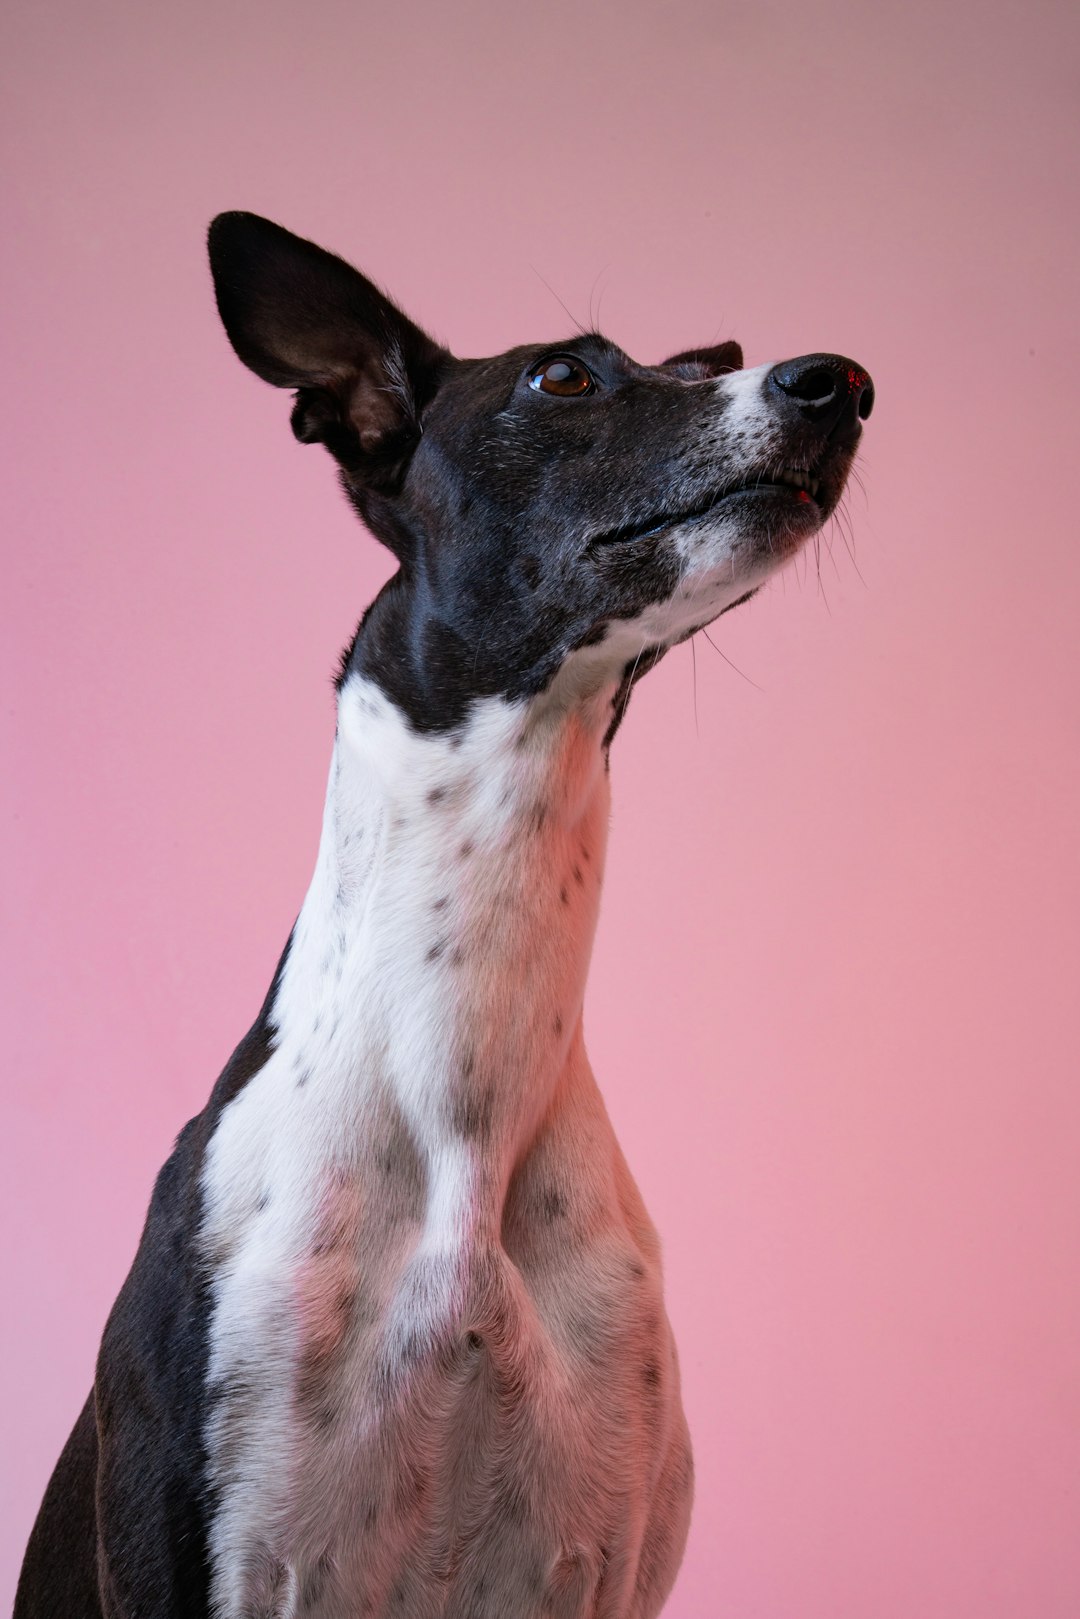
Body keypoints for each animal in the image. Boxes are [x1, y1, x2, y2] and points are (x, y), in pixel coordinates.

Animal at [16, 218, 874, 1619]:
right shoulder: (214, 1559)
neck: (467, 1083)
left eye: (685, 367)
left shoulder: (596, 1560)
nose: (840, 382)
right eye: (562, 376)